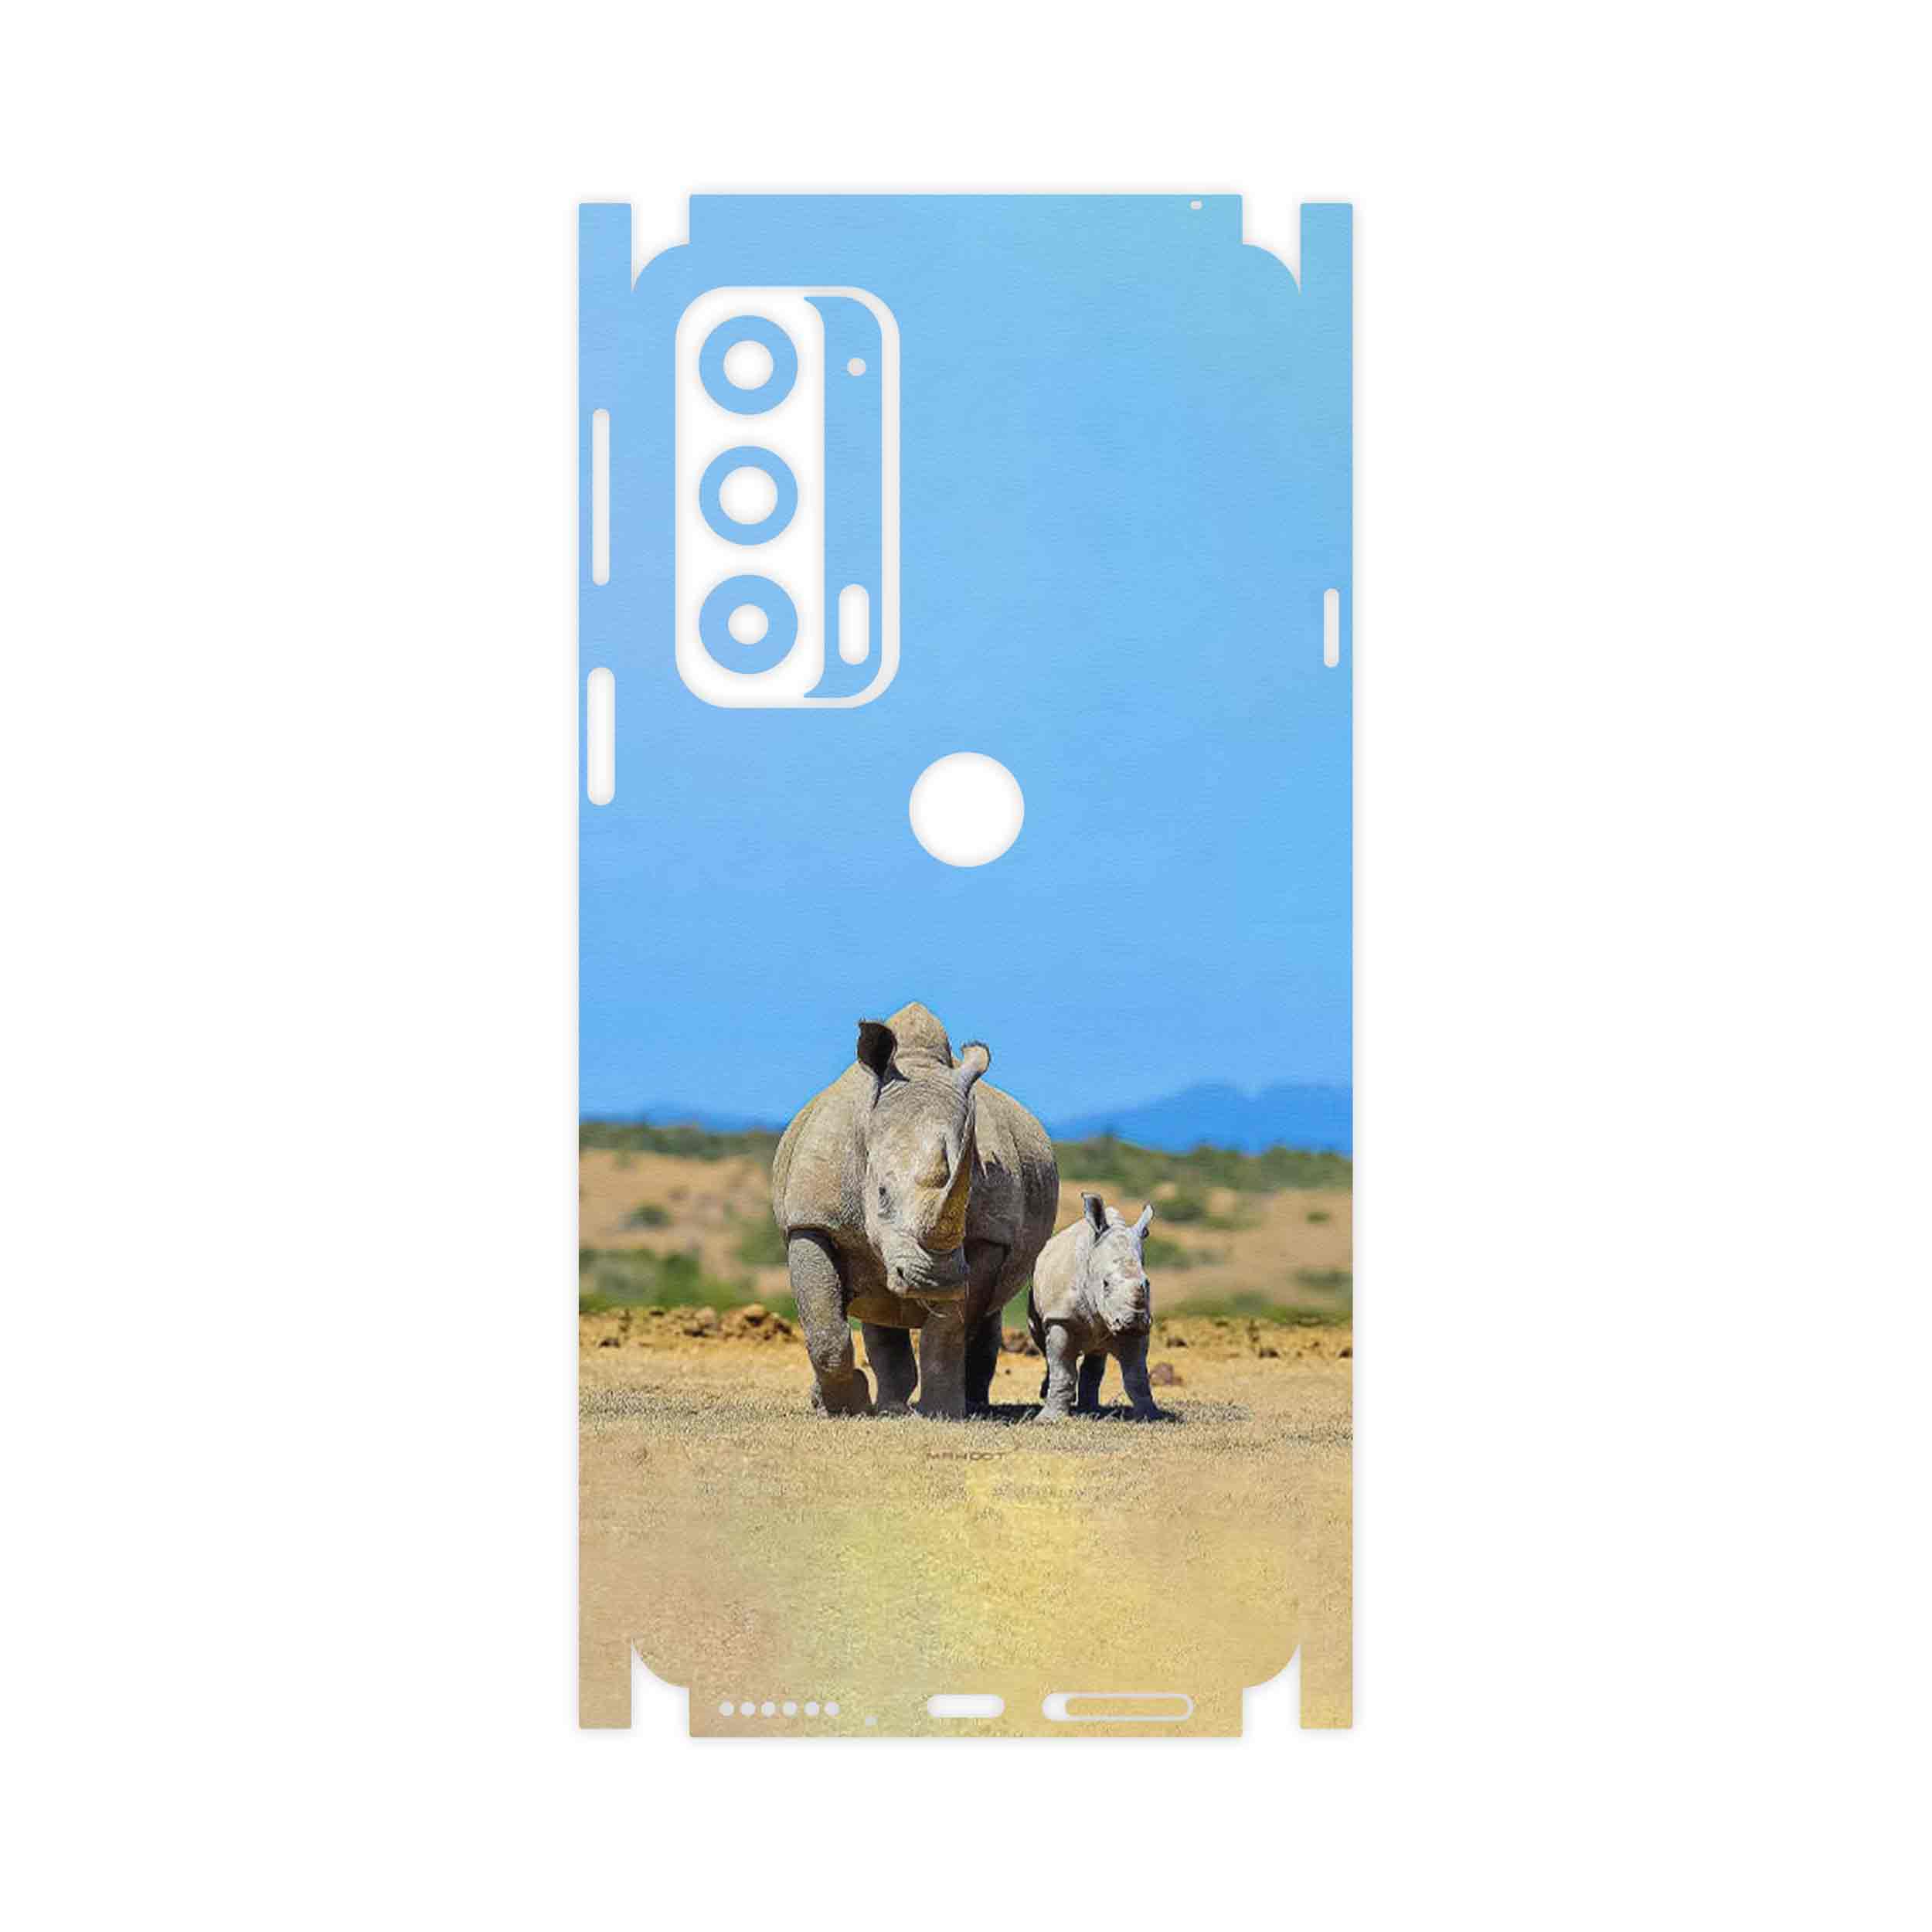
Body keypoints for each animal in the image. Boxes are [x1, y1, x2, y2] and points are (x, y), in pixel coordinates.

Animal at [770, 1002, 1059, 1418]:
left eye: (968, 1197)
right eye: (881, 1193)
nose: (933, 1280)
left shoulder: (988, 1237)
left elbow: (949, 1330)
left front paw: (942, 1411)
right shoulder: (812, 1220)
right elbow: (825, 1326)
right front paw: (844, 1405)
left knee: (983, 1315)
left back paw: (968, 1404)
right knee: (877, 1306)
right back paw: (885, 1405)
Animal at [1027, 1194, 1163, 1420]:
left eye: (1147, 1283)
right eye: (1105, 1284)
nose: (1133, 1321)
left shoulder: (1141, 1328)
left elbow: (1137, 1377)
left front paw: (1151, 1416)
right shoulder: (1060, 1318)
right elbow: (1062, 1371)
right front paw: (1048, 1420)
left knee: (1096, 1354)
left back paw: (1090, 1410)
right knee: (1044, 1346)